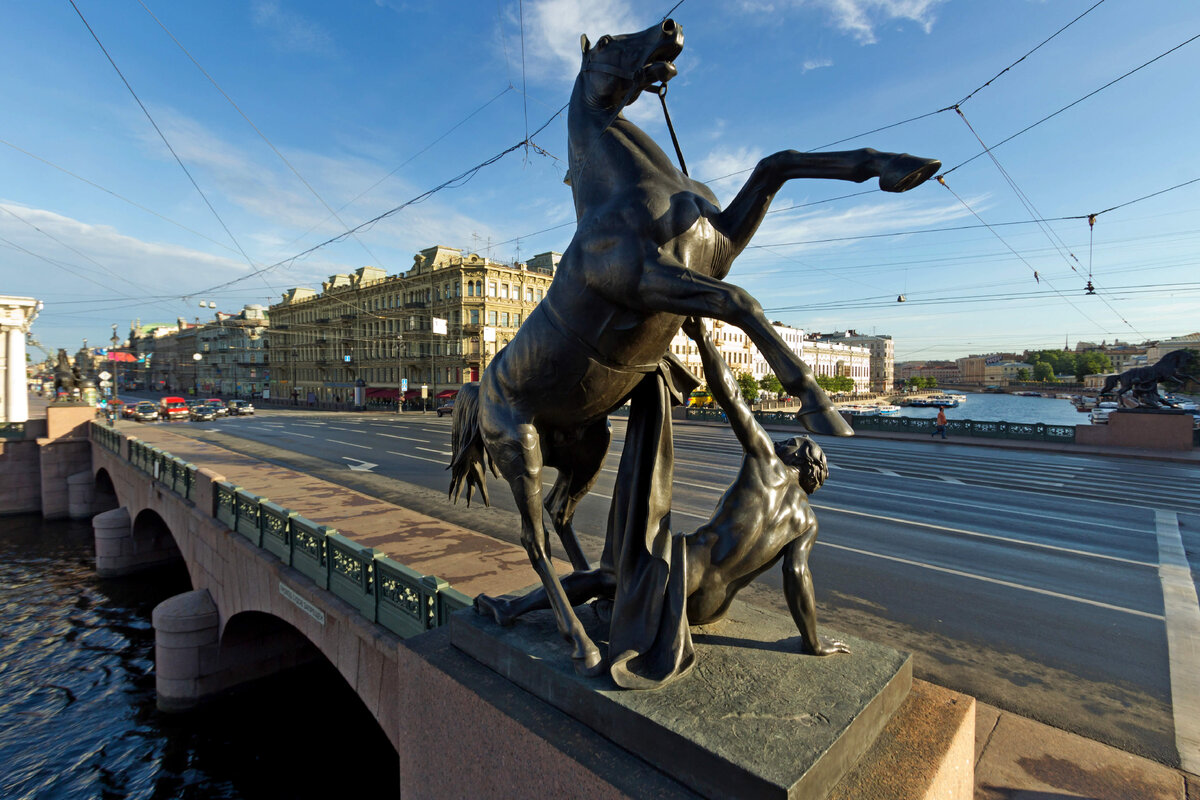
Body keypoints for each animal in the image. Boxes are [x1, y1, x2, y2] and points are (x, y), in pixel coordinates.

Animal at [453, 20, 940, 676]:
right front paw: (817, 403)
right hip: (519, 447)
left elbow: (778, 161)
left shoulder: (719, 244)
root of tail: (478, 386)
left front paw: (905, 166)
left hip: (587, 443)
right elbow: (741, 300)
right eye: (607, 41)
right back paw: (581, 642)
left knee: (560, 514)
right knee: (532, 536)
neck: (627, 194)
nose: (670, 28)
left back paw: (596, 599)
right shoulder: (651, 281)